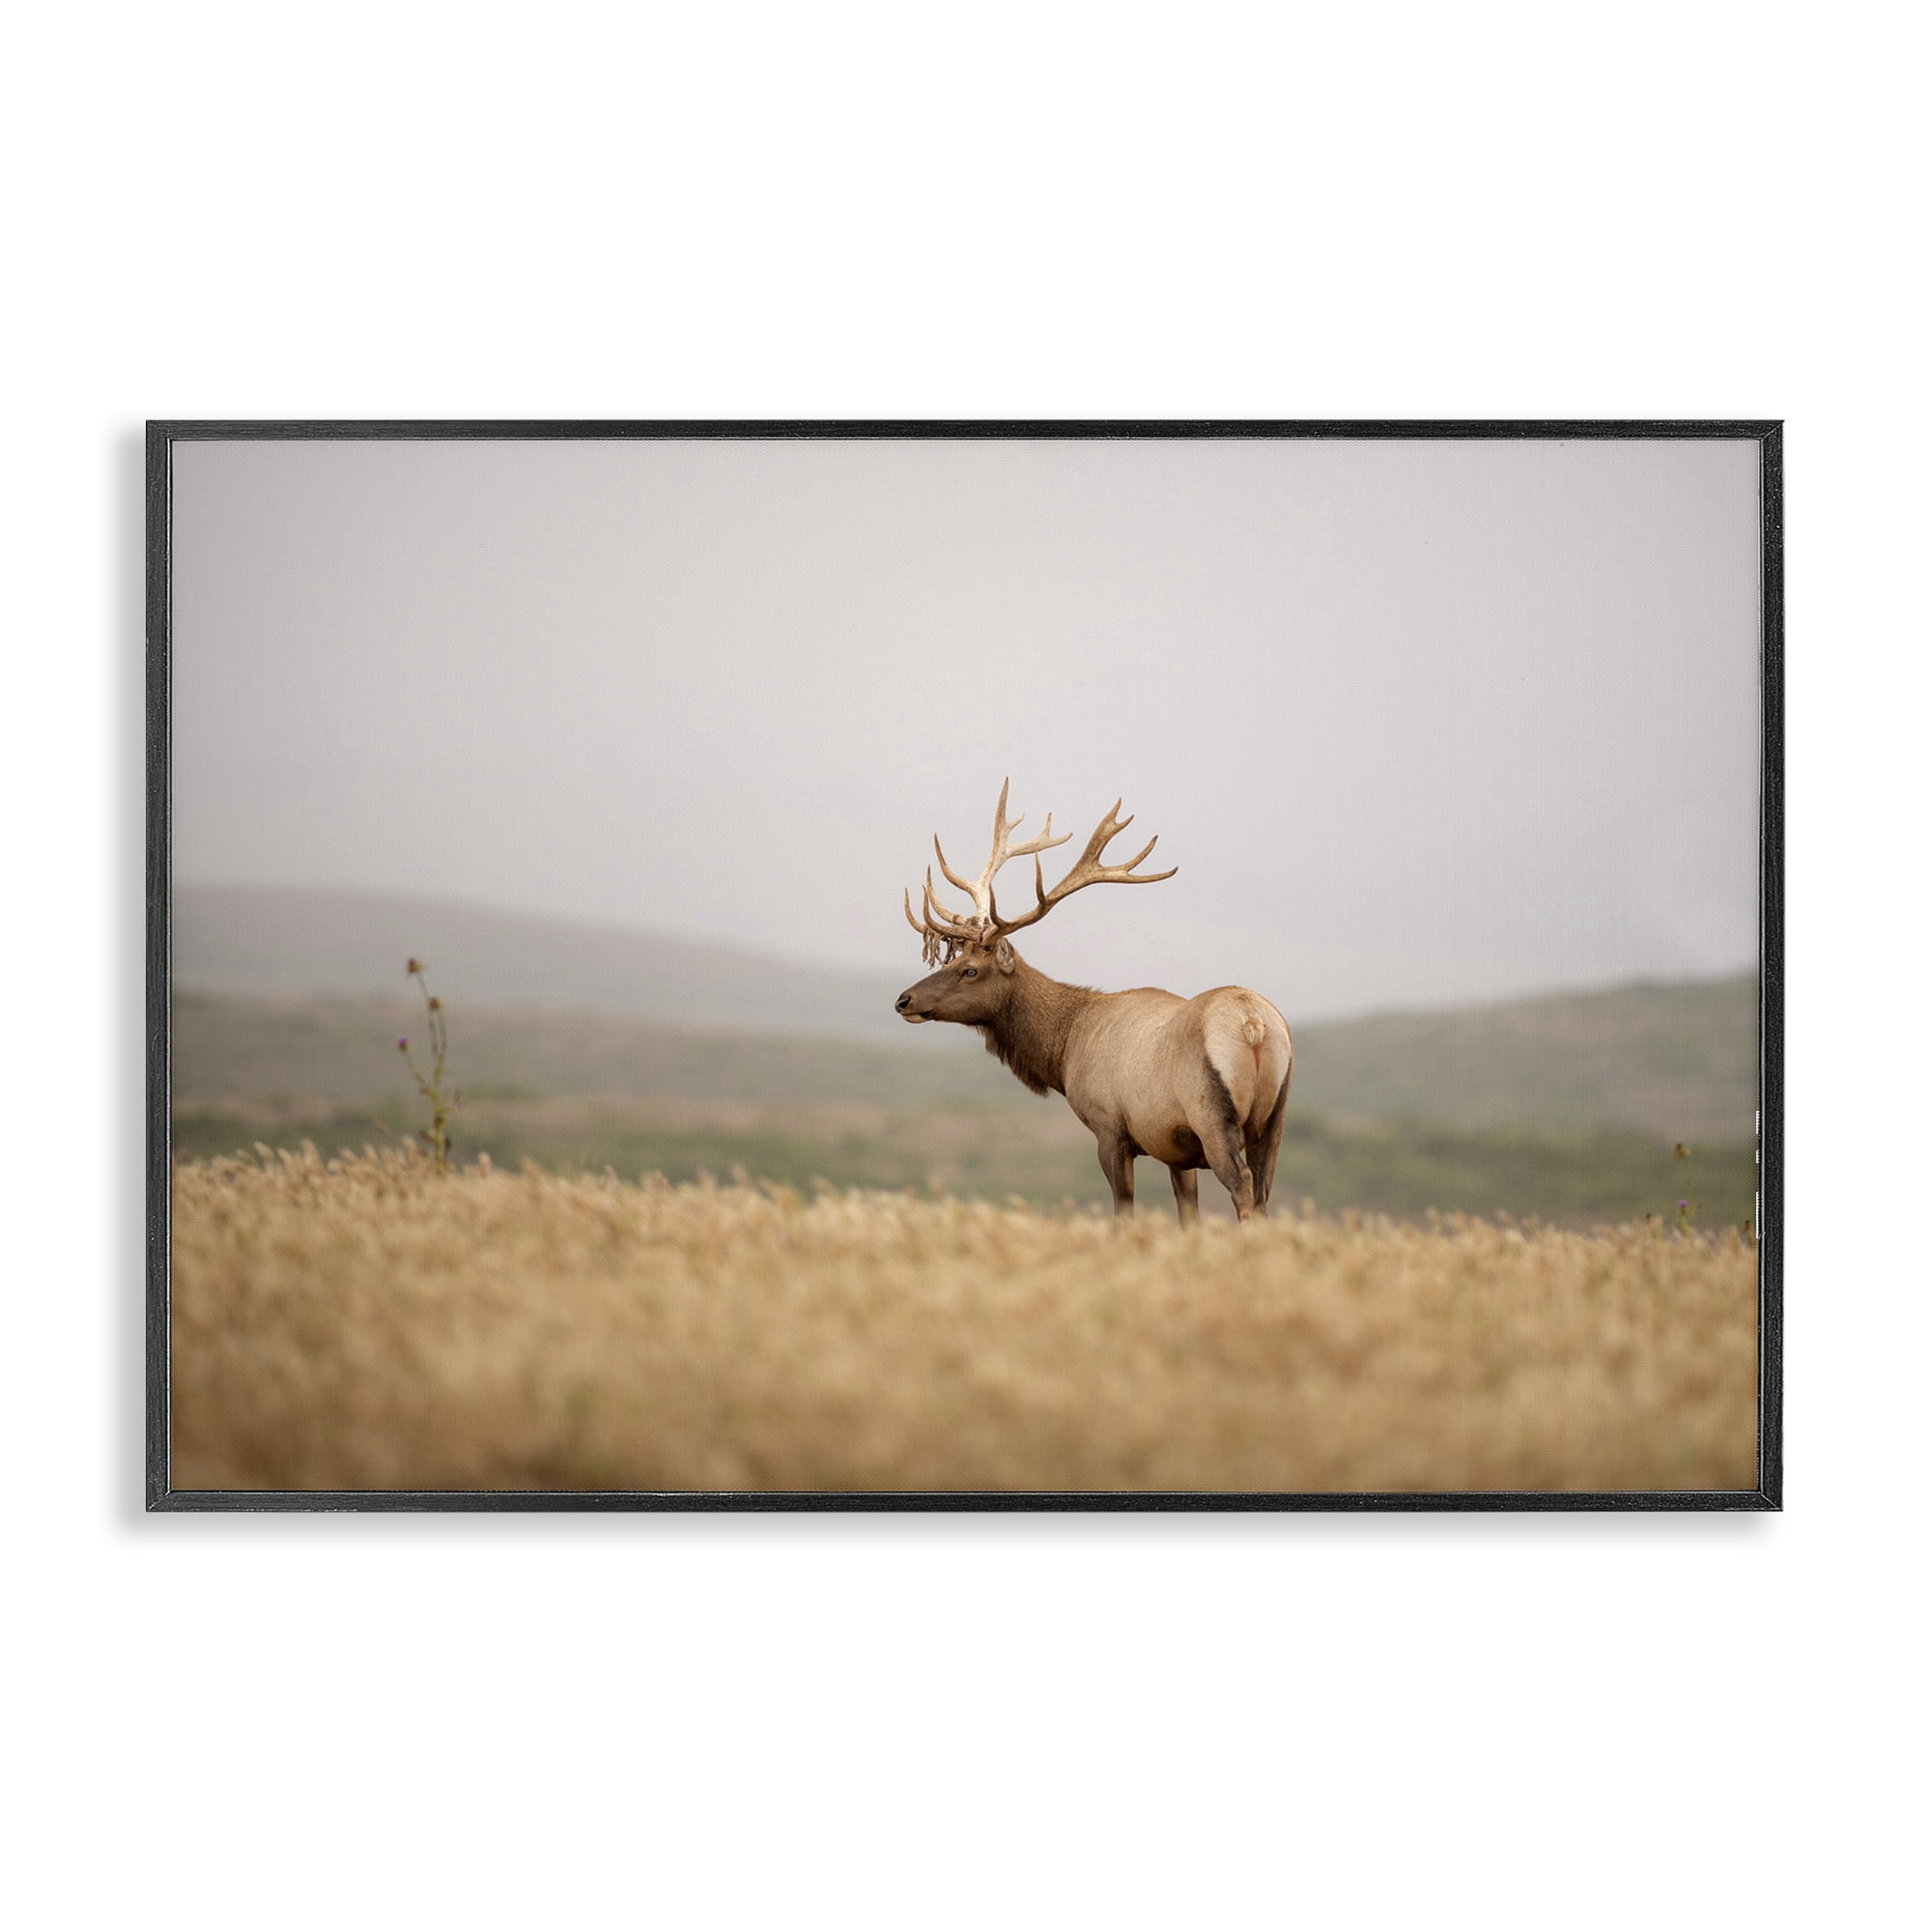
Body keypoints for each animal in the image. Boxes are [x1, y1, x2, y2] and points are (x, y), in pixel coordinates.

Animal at [896, 783, 1293, 1226]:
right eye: (950, 960)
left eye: (970, 970)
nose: (904, 999)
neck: (1065, 1048)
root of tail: (1254, 1023)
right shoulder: (1175, 1147)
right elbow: (1187, 1215)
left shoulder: (1110, 1127)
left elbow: (1123, 1210)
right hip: (1274, 1118)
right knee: (1262, 1191)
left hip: (1211, 1113)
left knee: (1242, 1186)